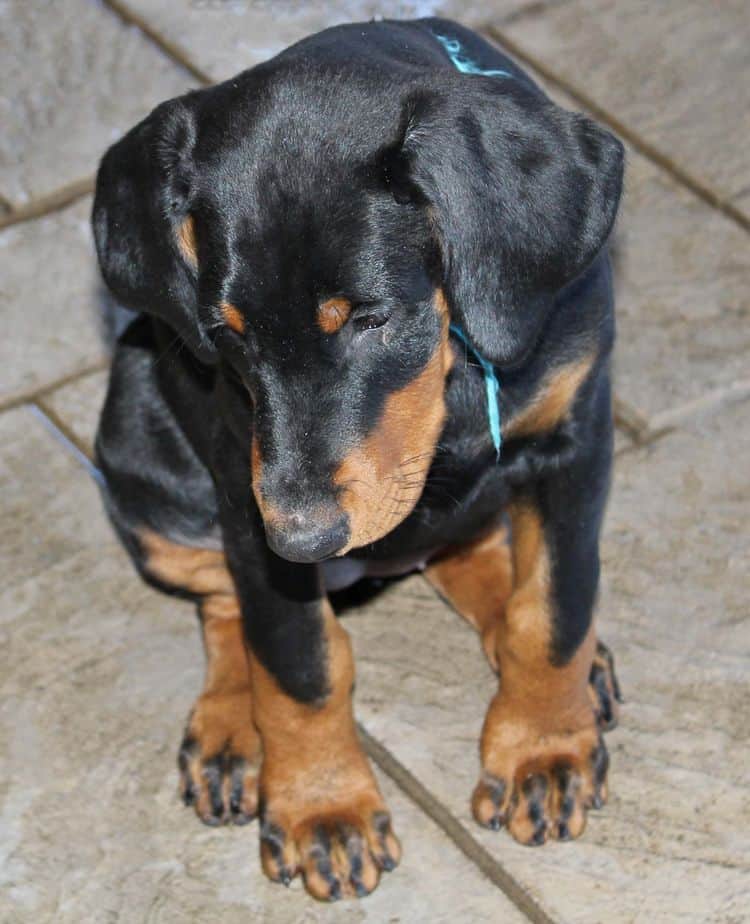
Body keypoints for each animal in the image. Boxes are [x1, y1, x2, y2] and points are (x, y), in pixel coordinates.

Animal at [92, 18, 624, 904]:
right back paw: (231, 732)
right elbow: (301, 664)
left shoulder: (574, 435)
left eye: (370, 317)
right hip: (137, 447)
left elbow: (553, 609)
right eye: (228, 333)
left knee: (473, 553)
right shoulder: (246, 492)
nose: (305, 541)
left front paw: (544, 749)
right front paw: (322, 810)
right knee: (224, 603)